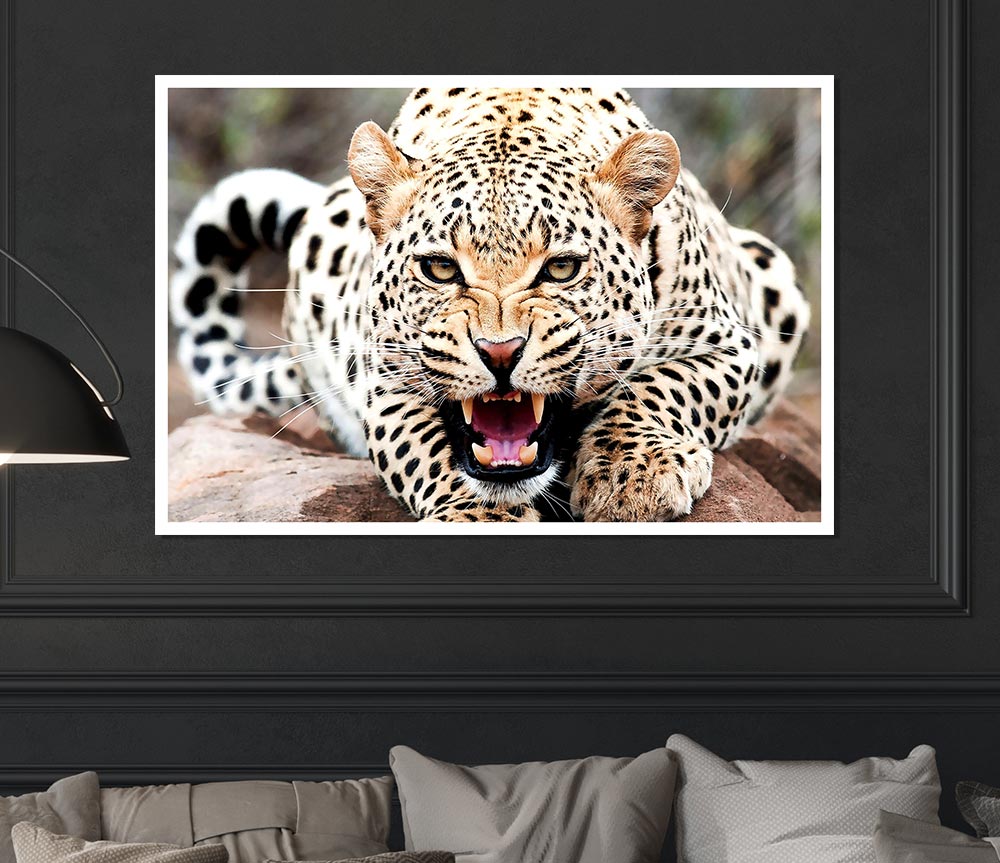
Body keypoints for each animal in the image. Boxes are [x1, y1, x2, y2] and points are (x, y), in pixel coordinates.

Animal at [170, 87, 809, 522]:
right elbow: (427, 448)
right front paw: (478, 514)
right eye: (440, 269)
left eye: (561, 269)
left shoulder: (731, 344)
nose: (500, 353)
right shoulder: (384, 380)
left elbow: (663, 386)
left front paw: (631, 477)